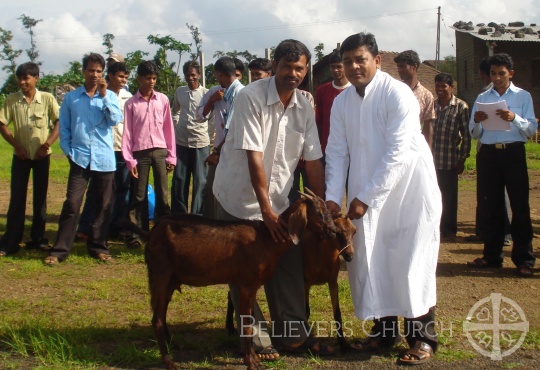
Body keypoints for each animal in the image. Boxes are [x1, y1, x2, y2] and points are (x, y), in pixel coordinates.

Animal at [133, 191, 336, 370]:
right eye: (319, 212)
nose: (333, 232)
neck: (265, 239)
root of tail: (151, 233)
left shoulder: (252, 286)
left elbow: (250, 323)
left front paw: (254, 357)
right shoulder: (245, 284)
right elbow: (246, 325)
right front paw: (251, 362)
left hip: (169, 281)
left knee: (162, 316)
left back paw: (173, 346)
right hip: (160, 275)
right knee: (157, 320)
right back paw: (169, 361)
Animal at [226, 215, 356, 352]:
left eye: (354, 231)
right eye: (337, 232)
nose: (350, 256)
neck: (320, 253)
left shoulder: (333, 282)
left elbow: (337, 313)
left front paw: (344, 345)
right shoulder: (305, 283)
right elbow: (306, 311)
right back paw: (230, 327)